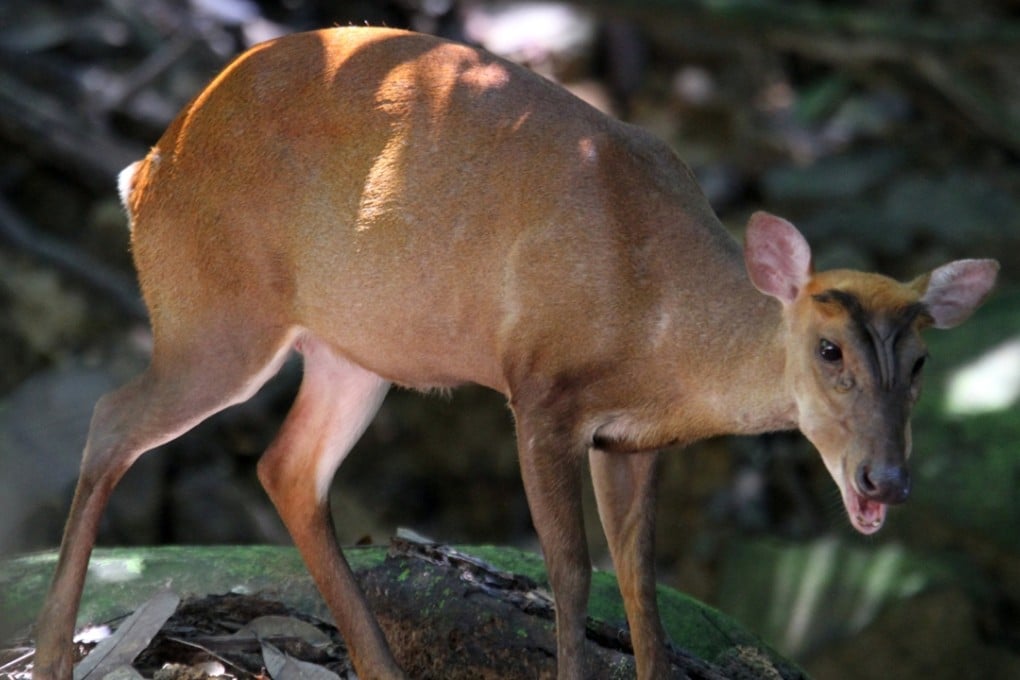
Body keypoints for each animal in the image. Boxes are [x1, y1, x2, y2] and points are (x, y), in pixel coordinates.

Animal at [32, 26, 998, 680]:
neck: (657, 321)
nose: (885, 479)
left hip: (354, 345)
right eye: (829, 350)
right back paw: (51, 654)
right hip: (215, 308)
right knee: (112, 419)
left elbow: (642, 585)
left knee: (288, 467)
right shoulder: (539, 391)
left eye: (921, 363)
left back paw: (380, 664)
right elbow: (572, 574)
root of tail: (145, 168)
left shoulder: (631, 440)